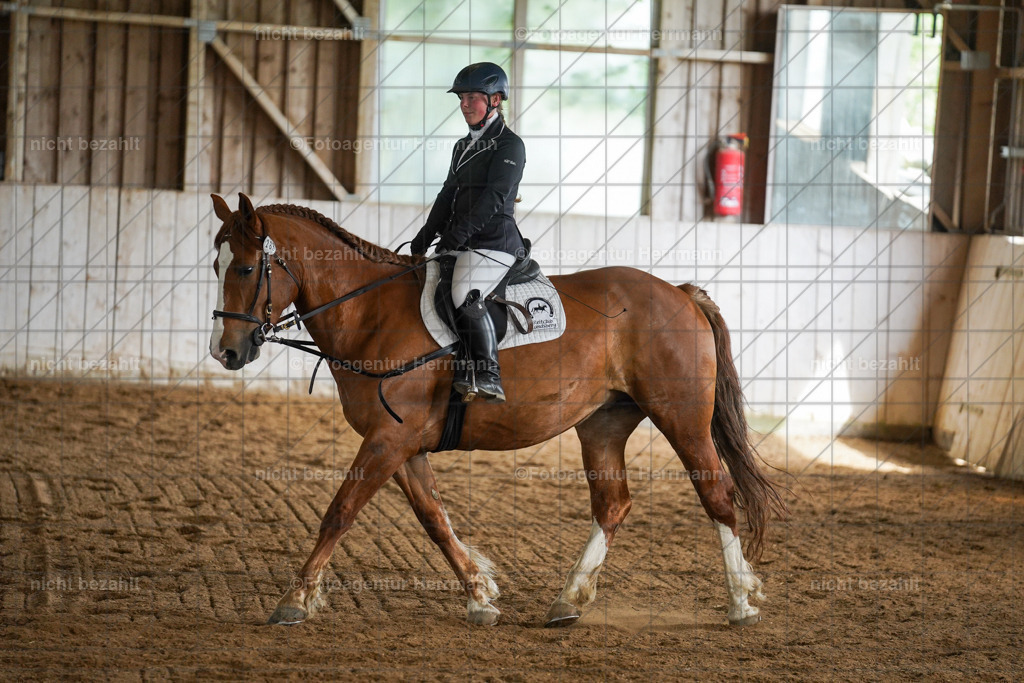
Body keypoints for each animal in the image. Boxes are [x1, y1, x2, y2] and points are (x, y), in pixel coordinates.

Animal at [208, 193, 787, 628]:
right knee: (613, 505)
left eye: (245, 267)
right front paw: (480, 595)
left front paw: (294, 601)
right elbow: (434, 519)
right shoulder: (401, 443)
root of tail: (682, 293)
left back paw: (741, 604)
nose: (225, 352)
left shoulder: (388, 441)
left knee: (717, 495)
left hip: (681, 418)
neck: (369, 313)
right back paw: (567, 602)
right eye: (216, 265)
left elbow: (339, 512)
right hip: (603, 424)